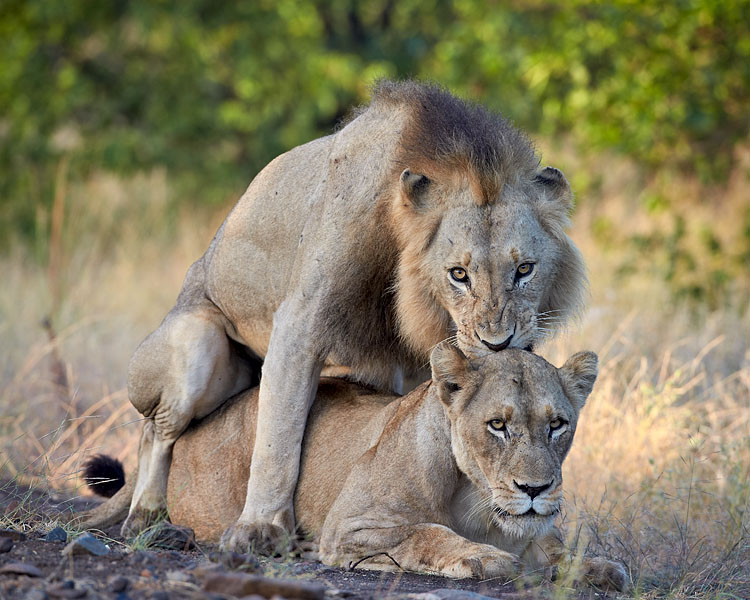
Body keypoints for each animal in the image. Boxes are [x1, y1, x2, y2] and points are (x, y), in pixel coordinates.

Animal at [84, 345, 625, 590]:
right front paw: (484, 557)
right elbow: (426, 532)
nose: (535, 488)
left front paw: (599, 567)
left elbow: (560, 553)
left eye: (557, 425)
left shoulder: (536, 531)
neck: (479, 500)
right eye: (498, 425)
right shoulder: (350, 526)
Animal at [122, 80, 588, 552]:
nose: (498, 344)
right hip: (194, 341)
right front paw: (260, 529)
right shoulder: (298, 324)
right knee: (155, 433)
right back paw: (149, 520)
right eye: (458, 274)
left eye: (524, 269)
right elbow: (278, 438)